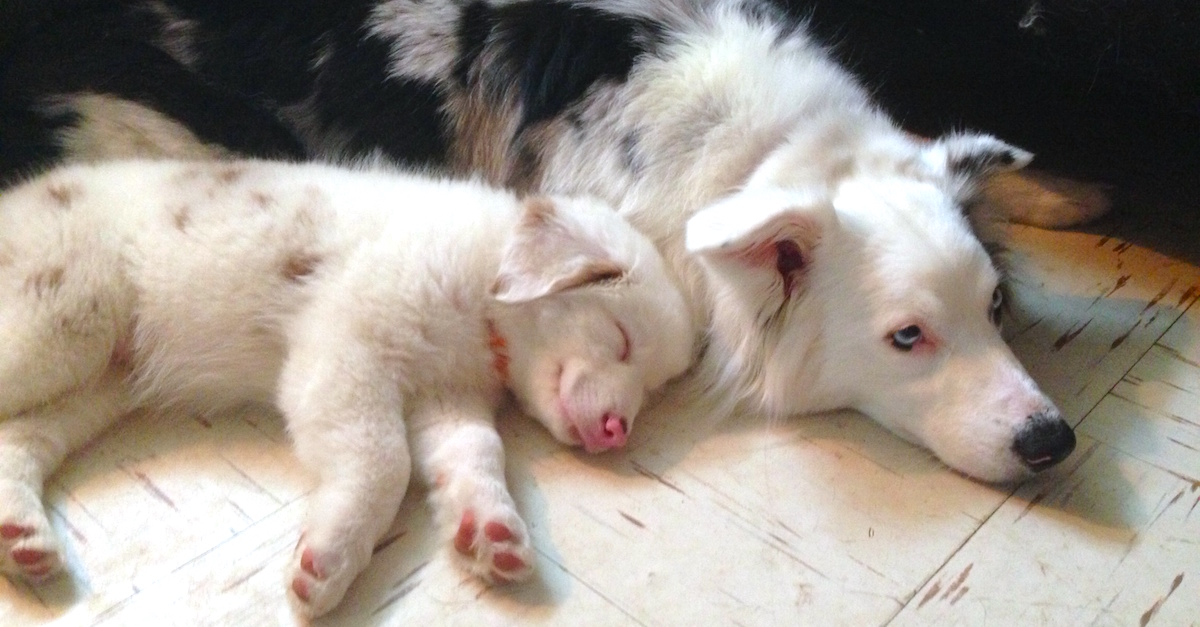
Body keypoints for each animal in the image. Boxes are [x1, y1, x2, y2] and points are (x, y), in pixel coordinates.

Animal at [0, 157, 696, 614]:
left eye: (653, 388)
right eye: (620, 338)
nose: (617, 432)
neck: (482, 293)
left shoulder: (445, 396)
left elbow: (475, 452)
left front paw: (492, 532)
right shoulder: (345, 350)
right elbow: (382, 460)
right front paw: (328, 562)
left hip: (93, 380)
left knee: (17, 441)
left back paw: (22, 539)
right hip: (56, 324)